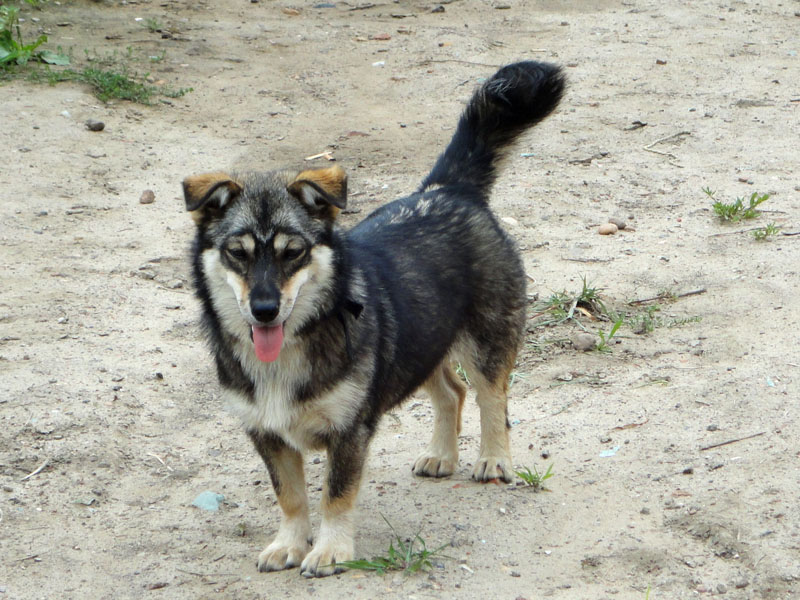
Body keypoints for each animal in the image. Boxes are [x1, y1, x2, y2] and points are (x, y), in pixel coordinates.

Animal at [184, 61, 564, 576]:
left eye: (293, 252)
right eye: (236, 253)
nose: (264, 309)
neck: (295, 345)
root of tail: (448, 190)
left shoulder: (350, 431)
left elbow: (335, 495)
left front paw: (330, 549)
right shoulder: (267, 434)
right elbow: (291, 497)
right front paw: (290, 542)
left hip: (486, 339)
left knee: (492, 398)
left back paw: (494, 460)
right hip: (418, 343)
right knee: (452, 392)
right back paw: (441, 455)